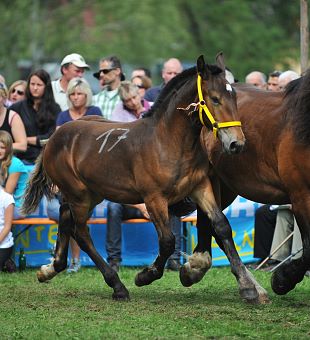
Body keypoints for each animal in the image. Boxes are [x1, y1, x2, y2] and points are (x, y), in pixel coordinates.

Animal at [21, 53, 266, 302]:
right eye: (215, 99)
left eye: (234, 97)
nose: (237, 143)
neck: (169, 142)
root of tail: (53, 137)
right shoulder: (154, 199)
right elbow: (167, 241)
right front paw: (144, 276)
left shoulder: (200, 187)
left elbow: (222, 226)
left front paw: (248, 288)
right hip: (79, 195)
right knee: (81, 233)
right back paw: (117, 285)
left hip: (90, 194)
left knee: (65, 217)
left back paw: (51, 268)